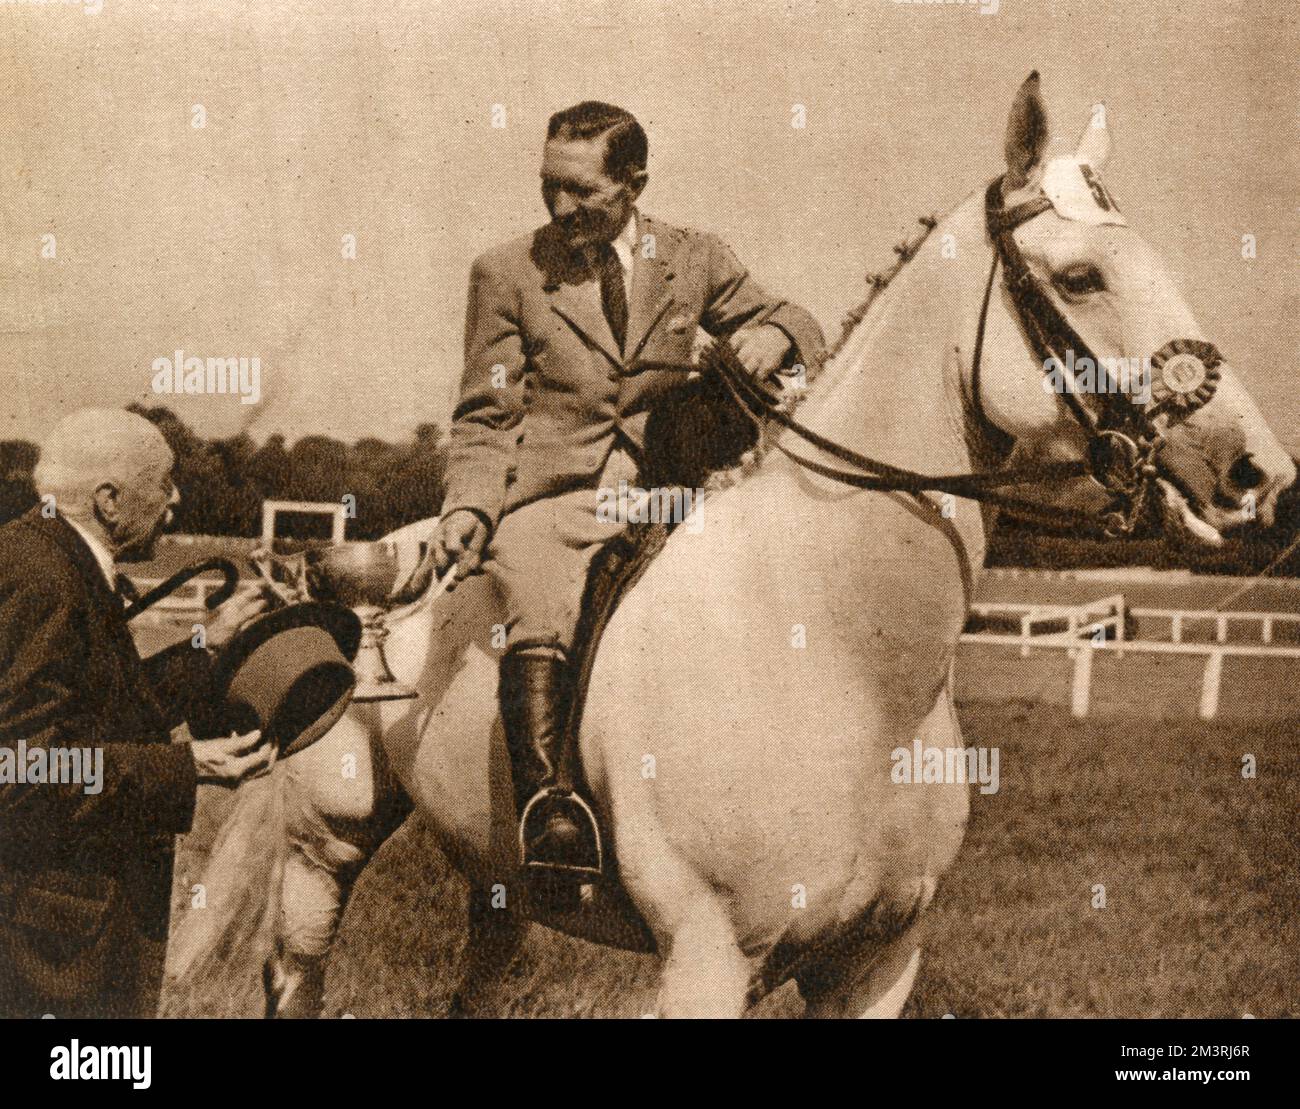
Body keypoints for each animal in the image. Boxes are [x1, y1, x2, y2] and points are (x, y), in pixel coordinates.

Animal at [167, 73, 1294, 1019]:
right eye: (1082, 274)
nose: (1257, 473)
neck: (835, 655)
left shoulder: (877, 962)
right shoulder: (708, 960)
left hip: (500, 880)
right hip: (326, 848)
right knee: (296, 969)